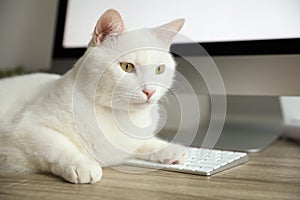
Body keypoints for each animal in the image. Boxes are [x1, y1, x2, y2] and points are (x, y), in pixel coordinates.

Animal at [0, 10, 186, 184]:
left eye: (159, 69)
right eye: (127, 66)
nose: (150, 91)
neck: (118, 117)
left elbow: (146, 143)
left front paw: (170, 149)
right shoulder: (26, 129)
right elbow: (57, 146)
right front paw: (82, 165)